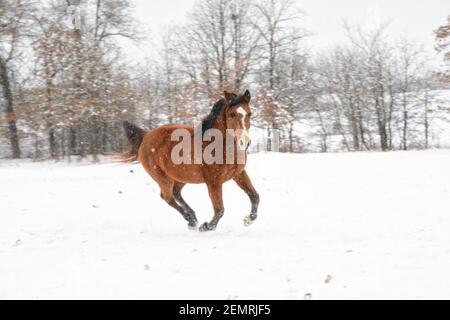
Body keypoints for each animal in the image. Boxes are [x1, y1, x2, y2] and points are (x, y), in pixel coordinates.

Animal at [119, 90, 260, 232]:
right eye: (232, 114)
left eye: (249, 113)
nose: (245, 142)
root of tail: (146, 136)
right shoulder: (213, 182)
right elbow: (219, 210)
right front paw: (206, 226)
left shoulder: (239, 174)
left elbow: (255, 196)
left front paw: (248, 219)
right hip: (163, 178)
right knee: (167, 197)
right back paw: (191, 219)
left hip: (181, 176)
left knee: (176, 193)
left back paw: (192, 217)